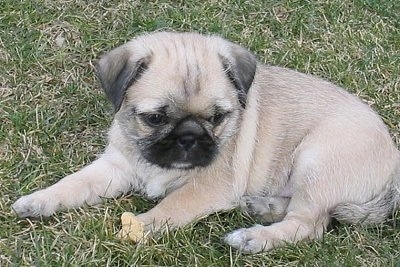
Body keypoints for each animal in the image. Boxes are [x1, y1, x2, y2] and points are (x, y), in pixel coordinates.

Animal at [12, 30, 400, 253]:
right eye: (155, 118)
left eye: (216, 118)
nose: (189, 137)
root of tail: (394, 163)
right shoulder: (114, 167)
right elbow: (74, 183)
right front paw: (39, 201)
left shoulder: (207, 187)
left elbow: (171, 207)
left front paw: (142, 227)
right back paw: (261, 207)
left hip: (315, 161)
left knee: (309, 224)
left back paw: (253, 238)